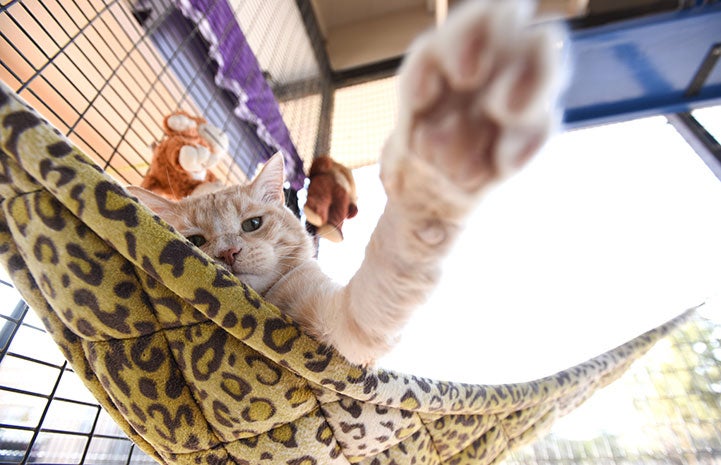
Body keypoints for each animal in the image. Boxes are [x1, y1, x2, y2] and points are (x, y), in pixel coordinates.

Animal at [129, 0, 568, 366]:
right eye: (196, 240)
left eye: (252, 224)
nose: (228, 254)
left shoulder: (341, 324)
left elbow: (384, 281)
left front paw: (450, 142)